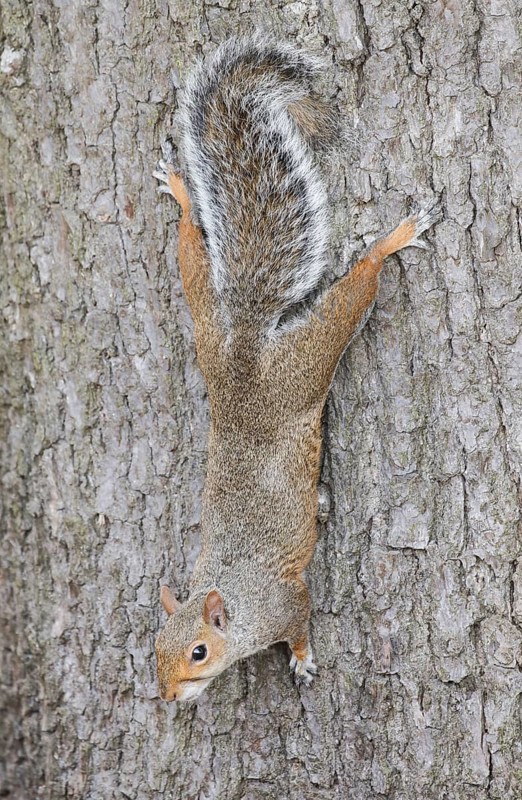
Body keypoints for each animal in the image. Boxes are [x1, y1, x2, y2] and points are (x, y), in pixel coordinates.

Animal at [153, 36, 440, 703]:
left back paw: (392, 241)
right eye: (156, 648)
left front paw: (303, 660)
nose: (168, 696)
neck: (235, 597)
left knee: (352, 293)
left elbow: (302, 622)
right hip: (206, 323)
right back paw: (182, 193)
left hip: (308, 358)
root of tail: (245, 351)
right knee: (190, 255)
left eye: (199, 652)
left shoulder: (287, 598)